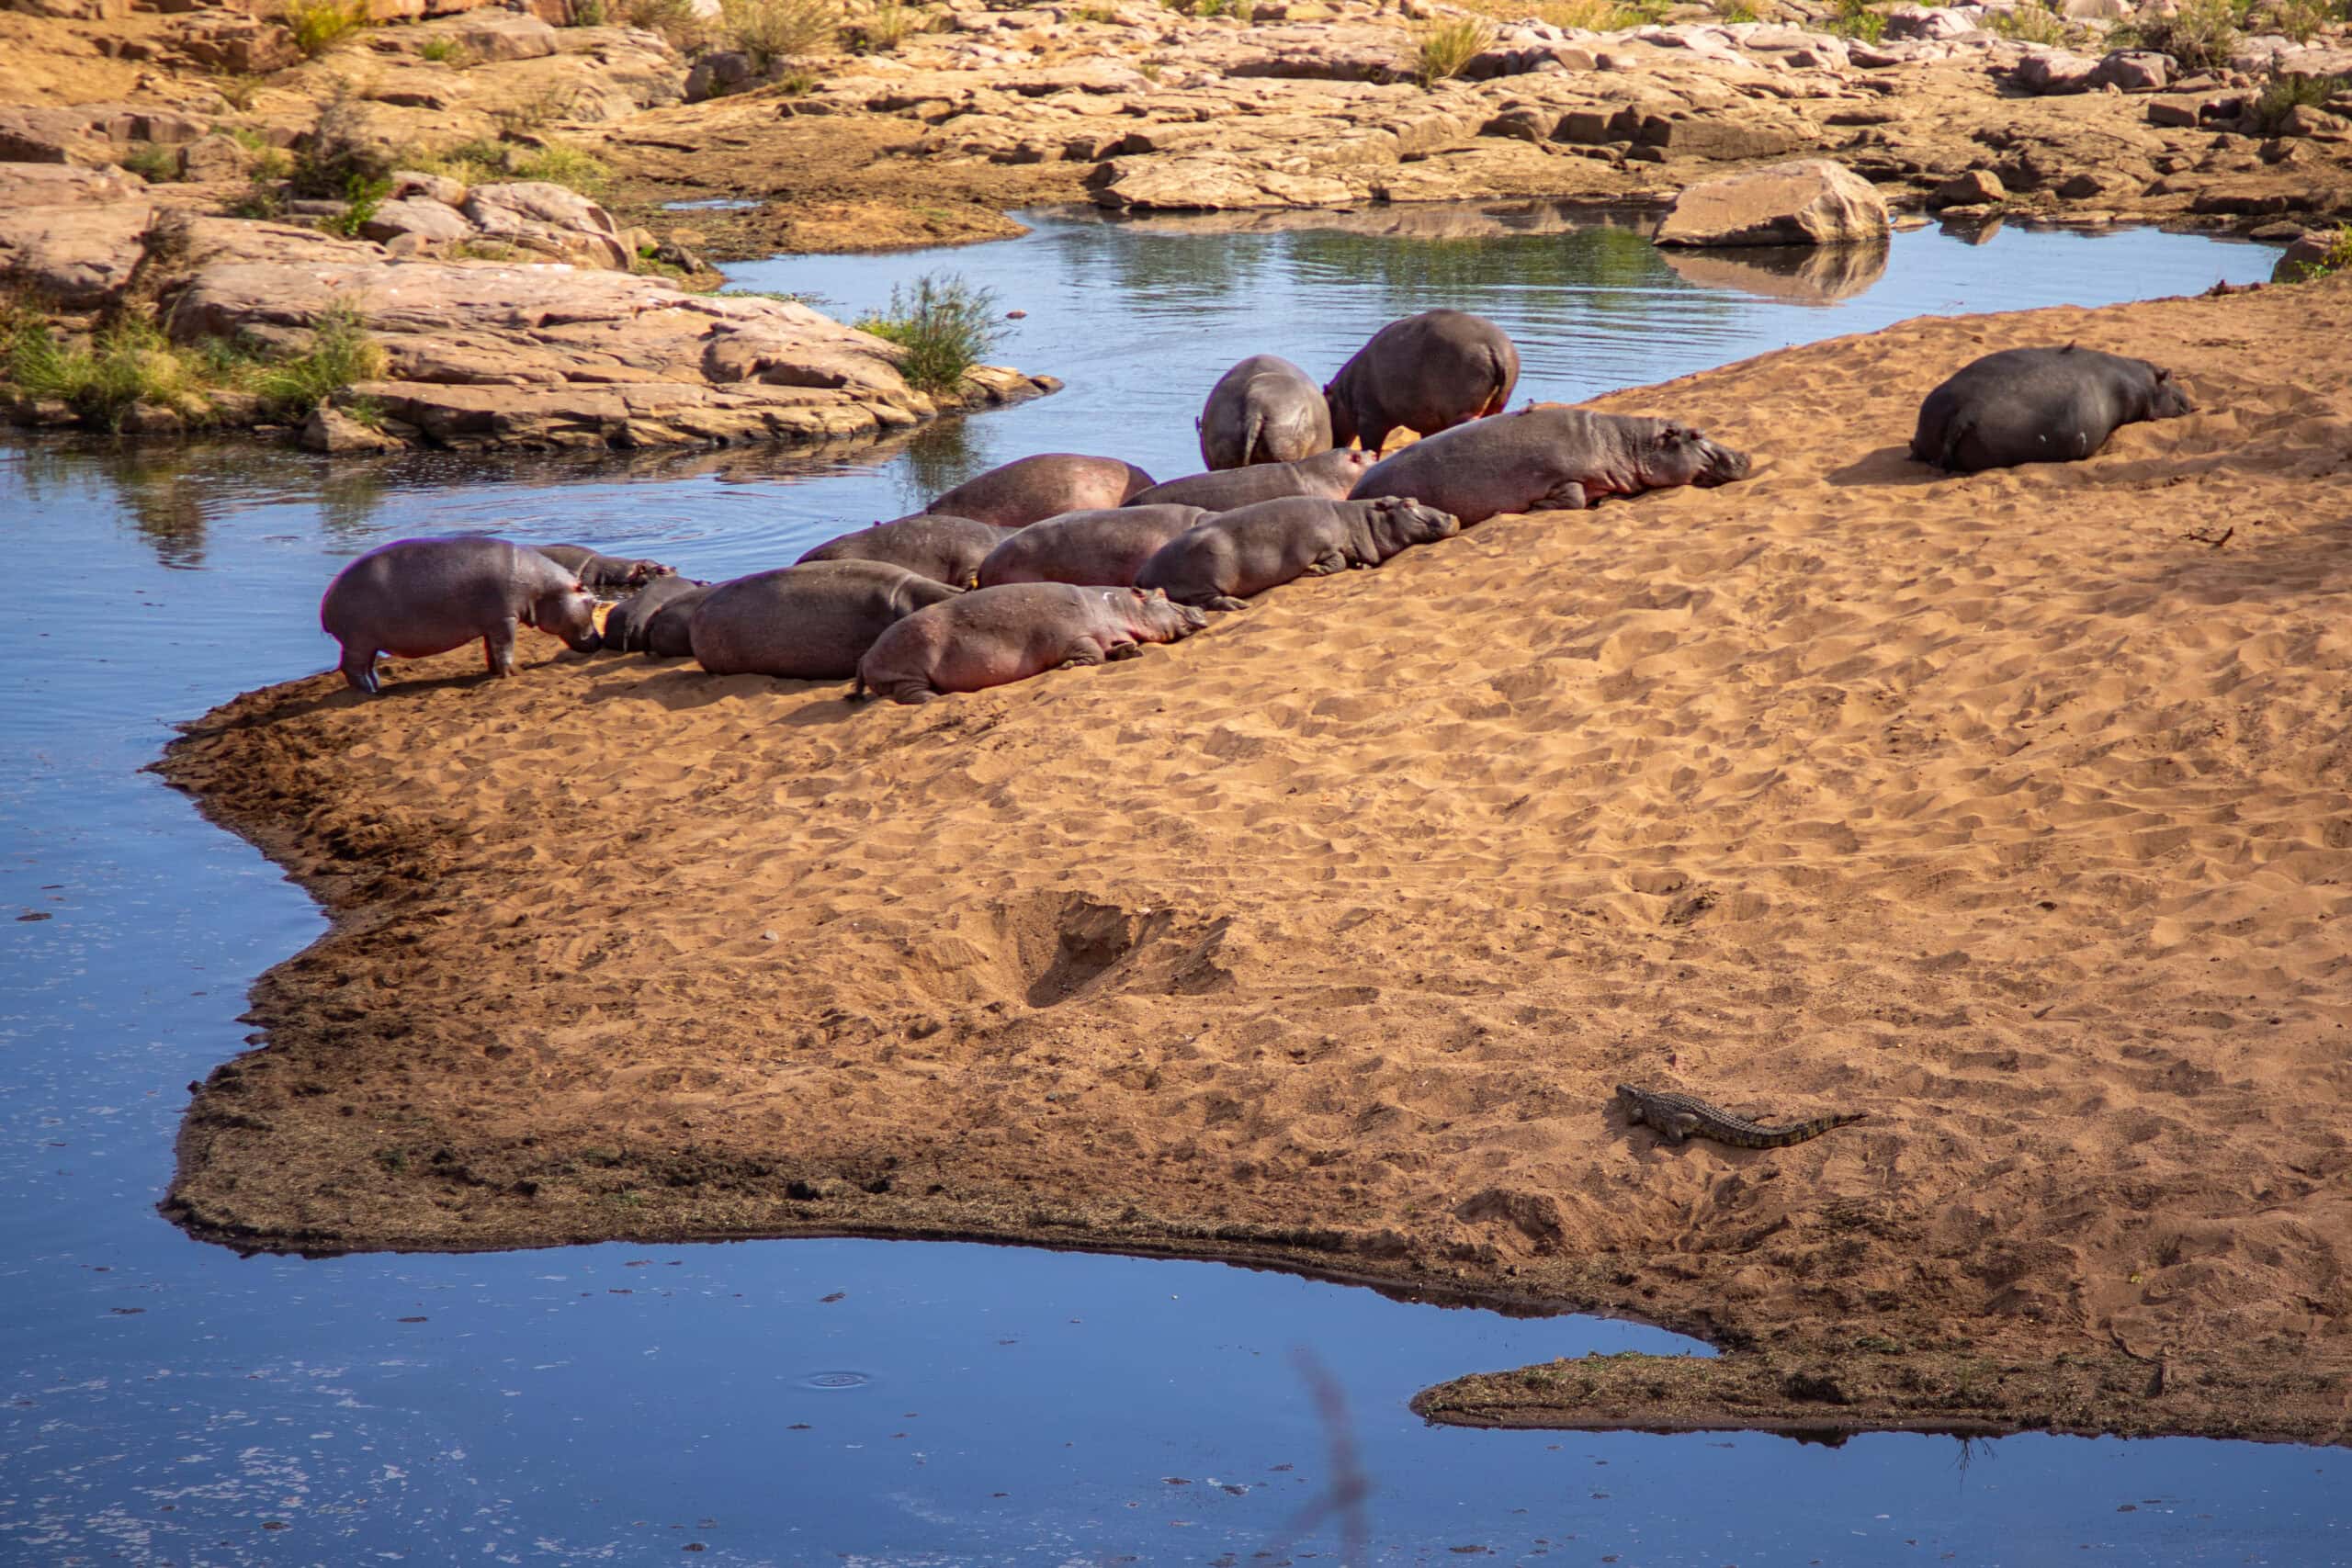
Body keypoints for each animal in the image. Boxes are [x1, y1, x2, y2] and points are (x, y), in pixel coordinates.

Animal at [319, 535, 598, 695]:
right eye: (593, 603)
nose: (599, 640)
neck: (544, 587)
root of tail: (326, 600)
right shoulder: (505, 619)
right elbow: (506, 646)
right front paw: (516, 673)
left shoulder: (492, 623)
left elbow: (491, 649)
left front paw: (496, 673)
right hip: (357, 641)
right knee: (352, 668)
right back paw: (371, 692)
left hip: (367, 643)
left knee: (365, 666)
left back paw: (378, 686)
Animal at [855, 584, 1209, 705]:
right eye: (1161, 592)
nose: (1199, 609)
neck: (1116, 607)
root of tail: (865, 656)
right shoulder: (1074, 635)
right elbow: (1093, 653)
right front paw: (1070, 665)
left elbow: (1111, 648)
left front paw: (1129, 650)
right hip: (906, 669)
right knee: (907, 694)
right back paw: (935, 698)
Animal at [1136, 496, 1460, 611]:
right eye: (1407, 504)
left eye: (1414, 498)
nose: (1451, 516)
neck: (1360, 521)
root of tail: (1141, 573)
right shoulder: (1322, 545)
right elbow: (1335, 561)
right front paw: (1313, 571)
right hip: (1207, 577)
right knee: (1207, 600)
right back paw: (1238, 605)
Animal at [1324, 310, 1520, 454]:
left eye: (1328, 406)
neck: (1343, 395)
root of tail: (1494, 348)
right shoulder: (1429, 422)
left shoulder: (1370, 418)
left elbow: (1371, 447)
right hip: (1498, 403)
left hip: (1464, 409)